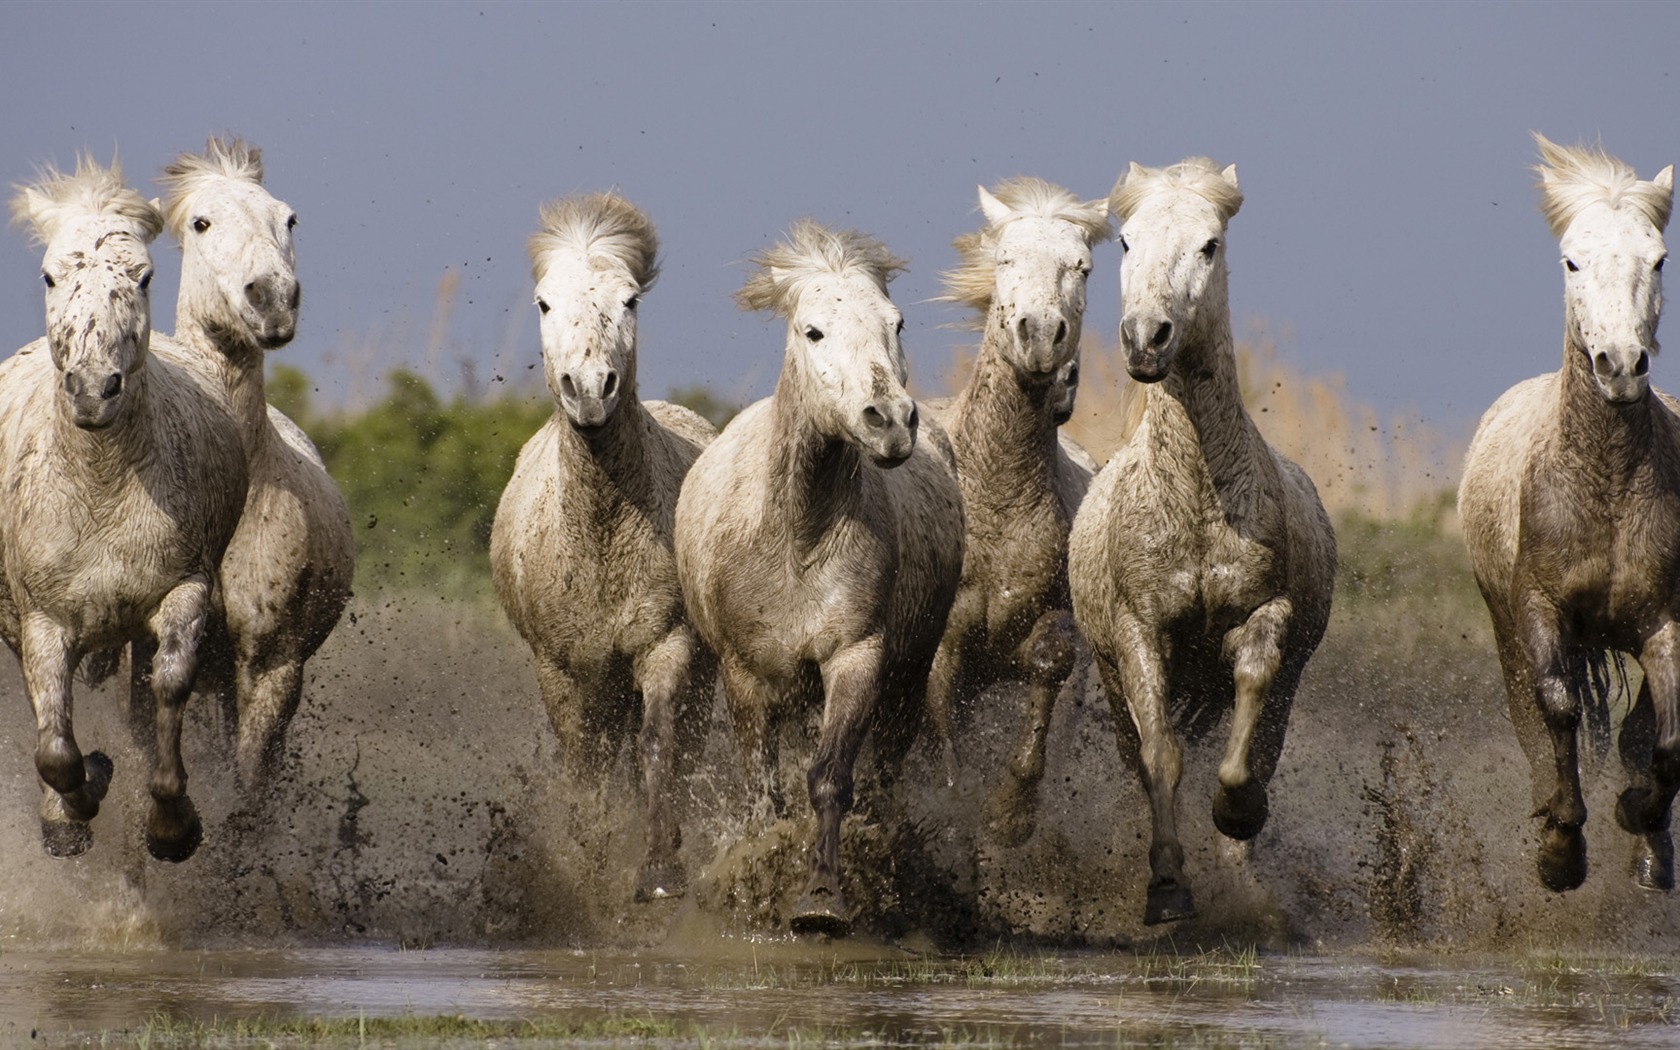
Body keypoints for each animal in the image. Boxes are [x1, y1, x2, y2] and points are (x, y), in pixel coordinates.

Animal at [0, 157, 246, 860]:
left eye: (144, 276)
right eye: (51, 275)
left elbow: (170, 686)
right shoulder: (43, 623)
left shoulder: (183, 590)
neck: (99, 486)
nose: (92, 389)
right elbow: (55, 747)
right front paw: (76, 805)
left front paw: (171, 825)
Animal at [675, 218, 967, 934]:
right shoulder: (747, 674)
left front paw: (821, 898)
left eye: (896, 323)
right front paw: (756, 879)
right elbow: (764, 791)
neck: (798, 540)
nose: (890, 422)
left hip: (909, 675)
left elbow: (830, 776)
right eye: (813, 332)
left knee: (885, 773)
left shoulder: (856, 656)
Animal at [927, 178, 1108, 843]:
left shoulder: (1049, 625)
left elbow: (1049, 664)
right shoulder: (945, 641)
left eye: (1082, 266)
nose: (1040, 335)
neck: (997, 498)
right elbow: (941, 732)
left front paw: (1011, 813)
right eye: (1005, 260)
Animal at [1075, 159, 1337, 920]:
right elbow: (1160, 756)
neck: (1193, 500)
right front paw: (1166, 888)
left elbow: (1248, 718)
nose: (1146, 338)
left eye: (1209, 245)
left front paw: (1238, 813)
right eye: (1125, 242)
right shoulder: (1139, 633)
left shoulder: (1265, 615)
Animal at [1451, 135, 1673, 893]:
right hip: (1504, 627)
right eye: (1572, 260)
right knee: (1533, 720)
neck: (1604, 486)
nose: (1621, 366)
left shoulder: (1662, 621)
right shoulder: (1538, 609)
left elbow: (1664, 738)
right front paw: (1560, 850)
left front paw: (1642, 827)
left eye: (1658, 258)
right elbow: (1558, 709)